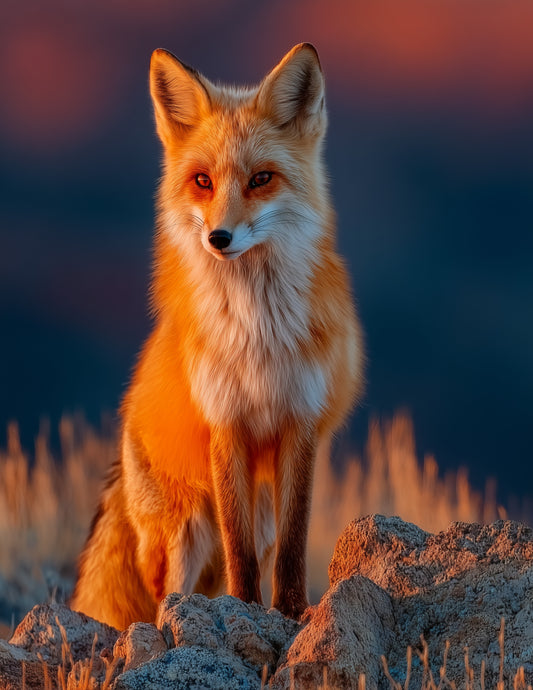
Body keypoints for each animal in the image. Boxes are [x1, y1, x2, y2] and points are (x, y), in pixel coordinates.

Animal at [71, 42, 364, 630]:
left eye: (261, 179)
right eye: (202, 181)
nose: (219, 237)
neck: (259, 333)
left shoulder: (300, 421)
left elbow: (294, 544)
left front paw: (292, 613)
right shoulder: (225, 423)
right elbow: (239, 549)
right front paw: (245, 609)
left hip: (256, 508)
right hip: (181, 533)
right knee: (169, 593)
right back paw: (174, 623)